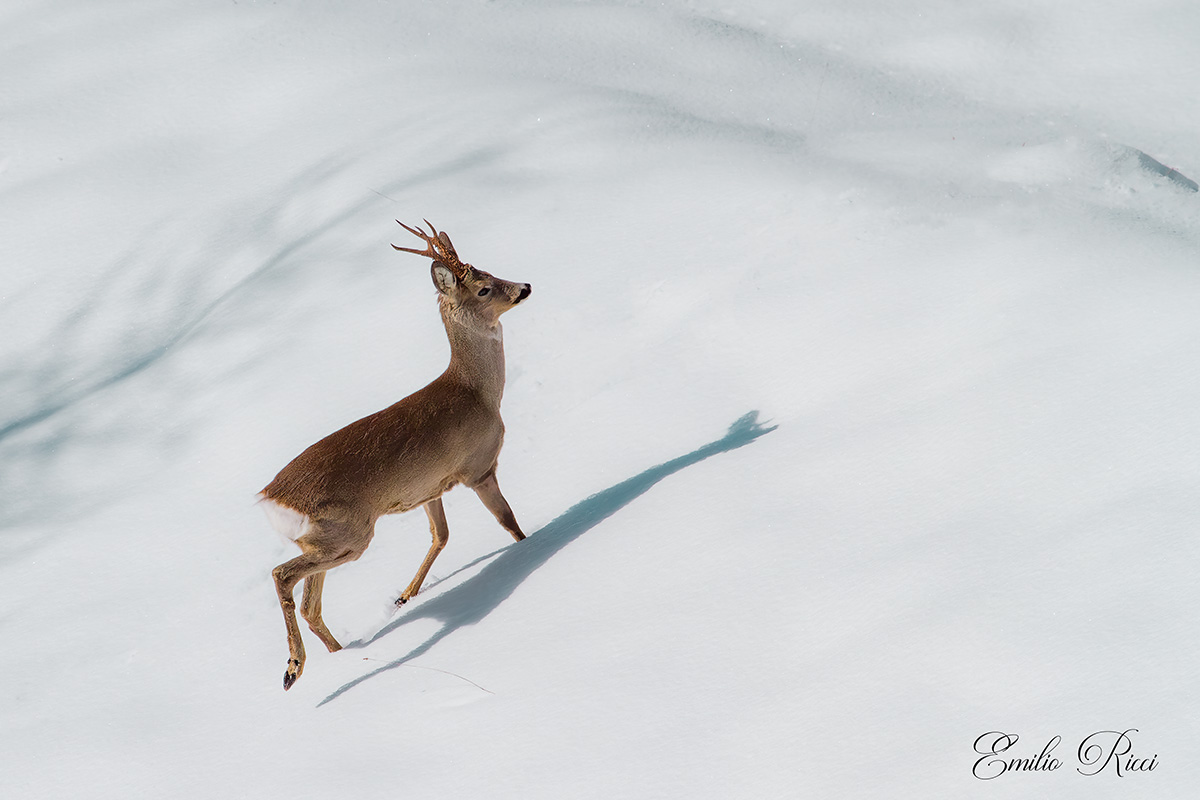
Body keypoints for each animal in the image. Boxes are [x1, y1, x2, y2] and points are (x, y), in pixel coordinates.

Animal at [258, 220, 532, 690]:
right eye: (483, 288)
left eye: (491, 271)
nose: (525, 287)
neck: (479, 392)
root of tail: (272, 498)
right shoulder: (478, 467)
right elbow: (508, 520)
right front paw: (531, 547)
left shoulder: (431, 489)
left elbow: (440, 535)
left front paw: (405, 595)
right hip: (348, 533)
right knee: (281, 574)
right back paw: (294, 667)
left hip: (330, 539)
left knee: (310, 600)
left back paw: (341, 655)